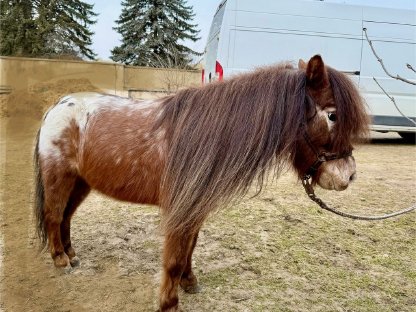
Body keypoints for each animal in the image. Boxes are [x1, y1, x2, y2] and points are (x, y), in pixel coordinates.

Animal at [35, 54, 368, 310]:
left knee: (65, 217)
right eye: (332, 115)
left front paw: (189, 282)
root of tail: (57, 106)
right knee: (53, 215)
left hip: (81, 183)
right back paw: (60, 260)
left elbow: (189, 250)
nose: (348, 176)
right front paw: (169, 303)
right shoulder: (180, 210)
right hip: (59, 178)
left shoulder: (195, 209)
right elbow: (173, 258)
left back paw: (71, 254)